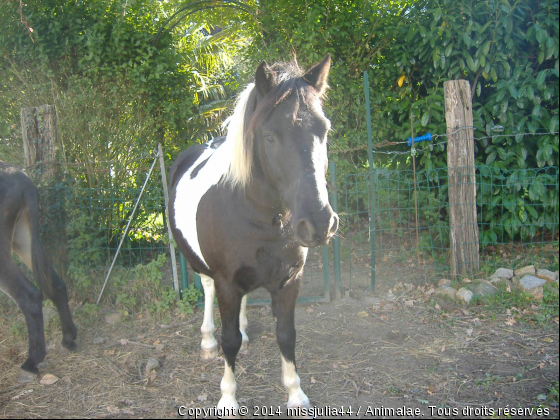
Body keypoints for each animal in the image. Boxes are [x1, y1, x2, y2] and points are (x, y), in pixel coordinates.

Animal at [0, 162, 77, 384]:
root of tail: (20, 177)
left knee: (29, 296)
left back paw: (32, 362)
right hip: (22, 237)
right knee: (56, 284)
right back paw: (68, 338)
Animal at [170, 54, 336, 412]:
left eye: (324, 130)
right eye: (270, 136)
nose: (318, 223)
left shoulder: (289, 280)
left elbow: (286, 335)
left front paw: (296, 395)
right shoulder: (226, 282)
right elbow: (228, 341)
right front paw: (228, 400)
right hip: (202, 267)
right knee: (207, 291)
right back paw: (207, 341)